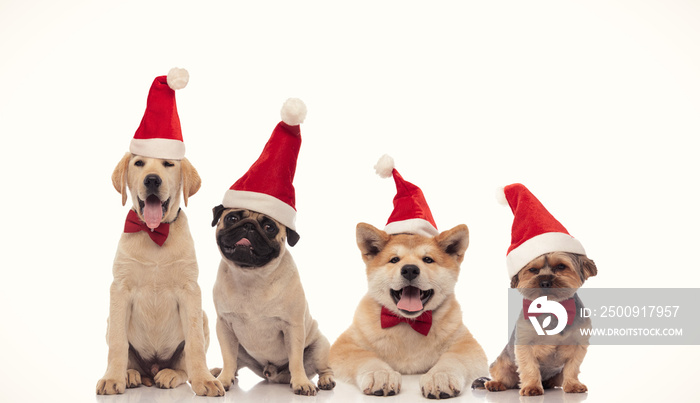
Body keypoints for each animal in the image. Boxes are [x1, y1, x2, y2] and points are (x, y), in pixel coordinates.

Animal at [96, 154, 224, 398]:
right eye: (138, 163)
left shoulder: (190, 291)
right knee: (130, 358)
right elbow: (118, 342)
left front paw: (204, 380)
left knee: (183, 368)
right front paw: (112, 378)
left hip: (203, 317)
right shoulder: (120, 290)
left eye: (168, 164)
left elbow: (194, 343)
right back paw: (129, 375)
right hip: (109, 320)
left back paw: (171, 375)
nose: (152, 180)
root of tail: (153, 368)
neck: (154, 233)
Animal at [211, 207, 336, 396]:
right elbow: (228, 358)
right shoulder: (224, 326)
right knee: (235, 364)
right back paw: (219, 373)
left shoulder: (293, 327)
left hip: (320, 347)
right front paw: (224, 379)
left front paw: (301, 383)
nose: (249, 225)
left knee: (324, 368)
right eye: (231, 218)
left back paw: (326, 380)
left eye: (269, 227)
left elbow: (296, 360)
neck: (251, 277)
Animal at [476, 252, 596, 398]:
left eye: (561, 266)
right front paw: (532, 387)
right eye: (533, 269)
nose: (544, 282)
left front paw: (573, 385)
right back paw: (495, 384)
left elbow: (572, 367)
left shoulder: (578, 344)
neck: (551, 308)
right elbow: (529, 367)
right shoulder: (525, 343)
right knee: (505, 378)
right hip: (502, 363)